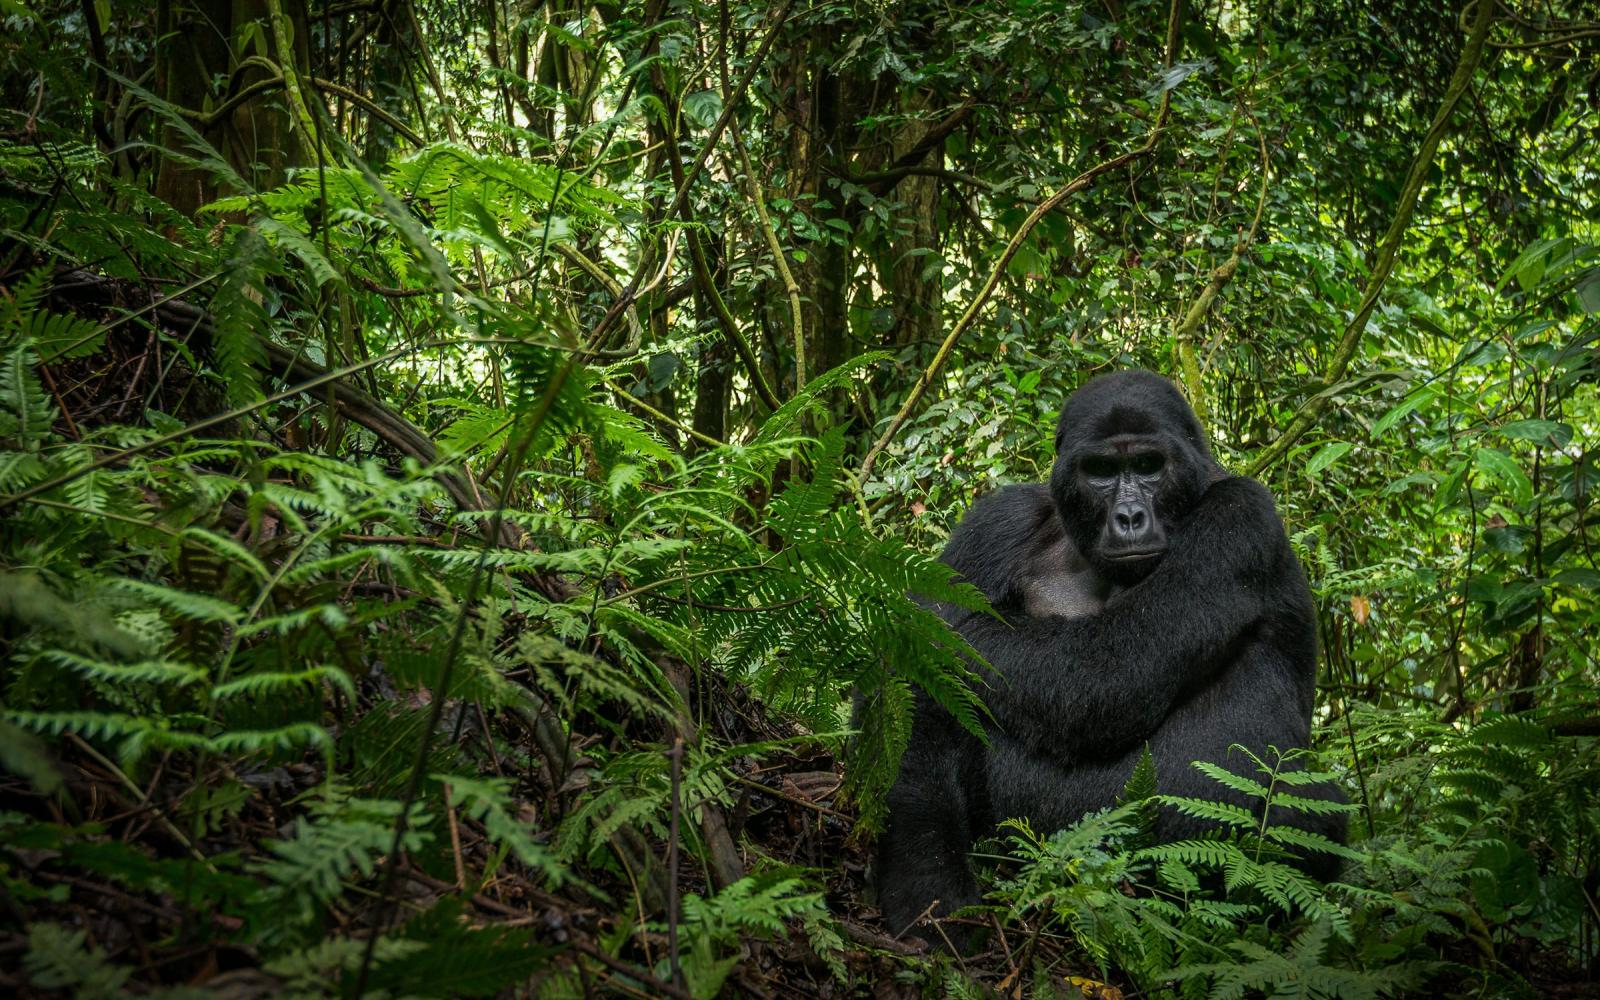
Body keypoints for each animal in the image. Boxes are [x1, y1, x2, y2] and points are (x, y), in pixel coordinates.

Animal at [883, 368, 1344, 940]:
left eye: (1148, 466)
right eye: (1101, 471)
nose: (1128, 517)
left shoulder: (1242, 515)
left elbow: (1104, 672)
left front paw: (914, 619)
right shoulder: (998, 519)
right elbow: (919, 679)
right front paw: (924, 874)